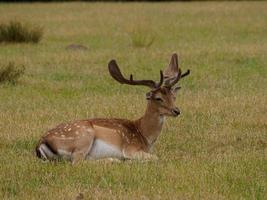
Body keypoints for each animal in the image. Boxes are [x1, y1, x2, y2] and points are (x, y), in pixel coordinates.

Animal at [36, 54, 191, 163]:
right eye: (158, 98)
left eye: (173, 96)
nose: (176, 111)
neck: (144, 135)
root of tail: (40, 144)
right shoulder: (130, 148)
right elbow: (156, 157)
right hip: (83, 136)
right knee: (77, 161)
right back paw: (115, 160)